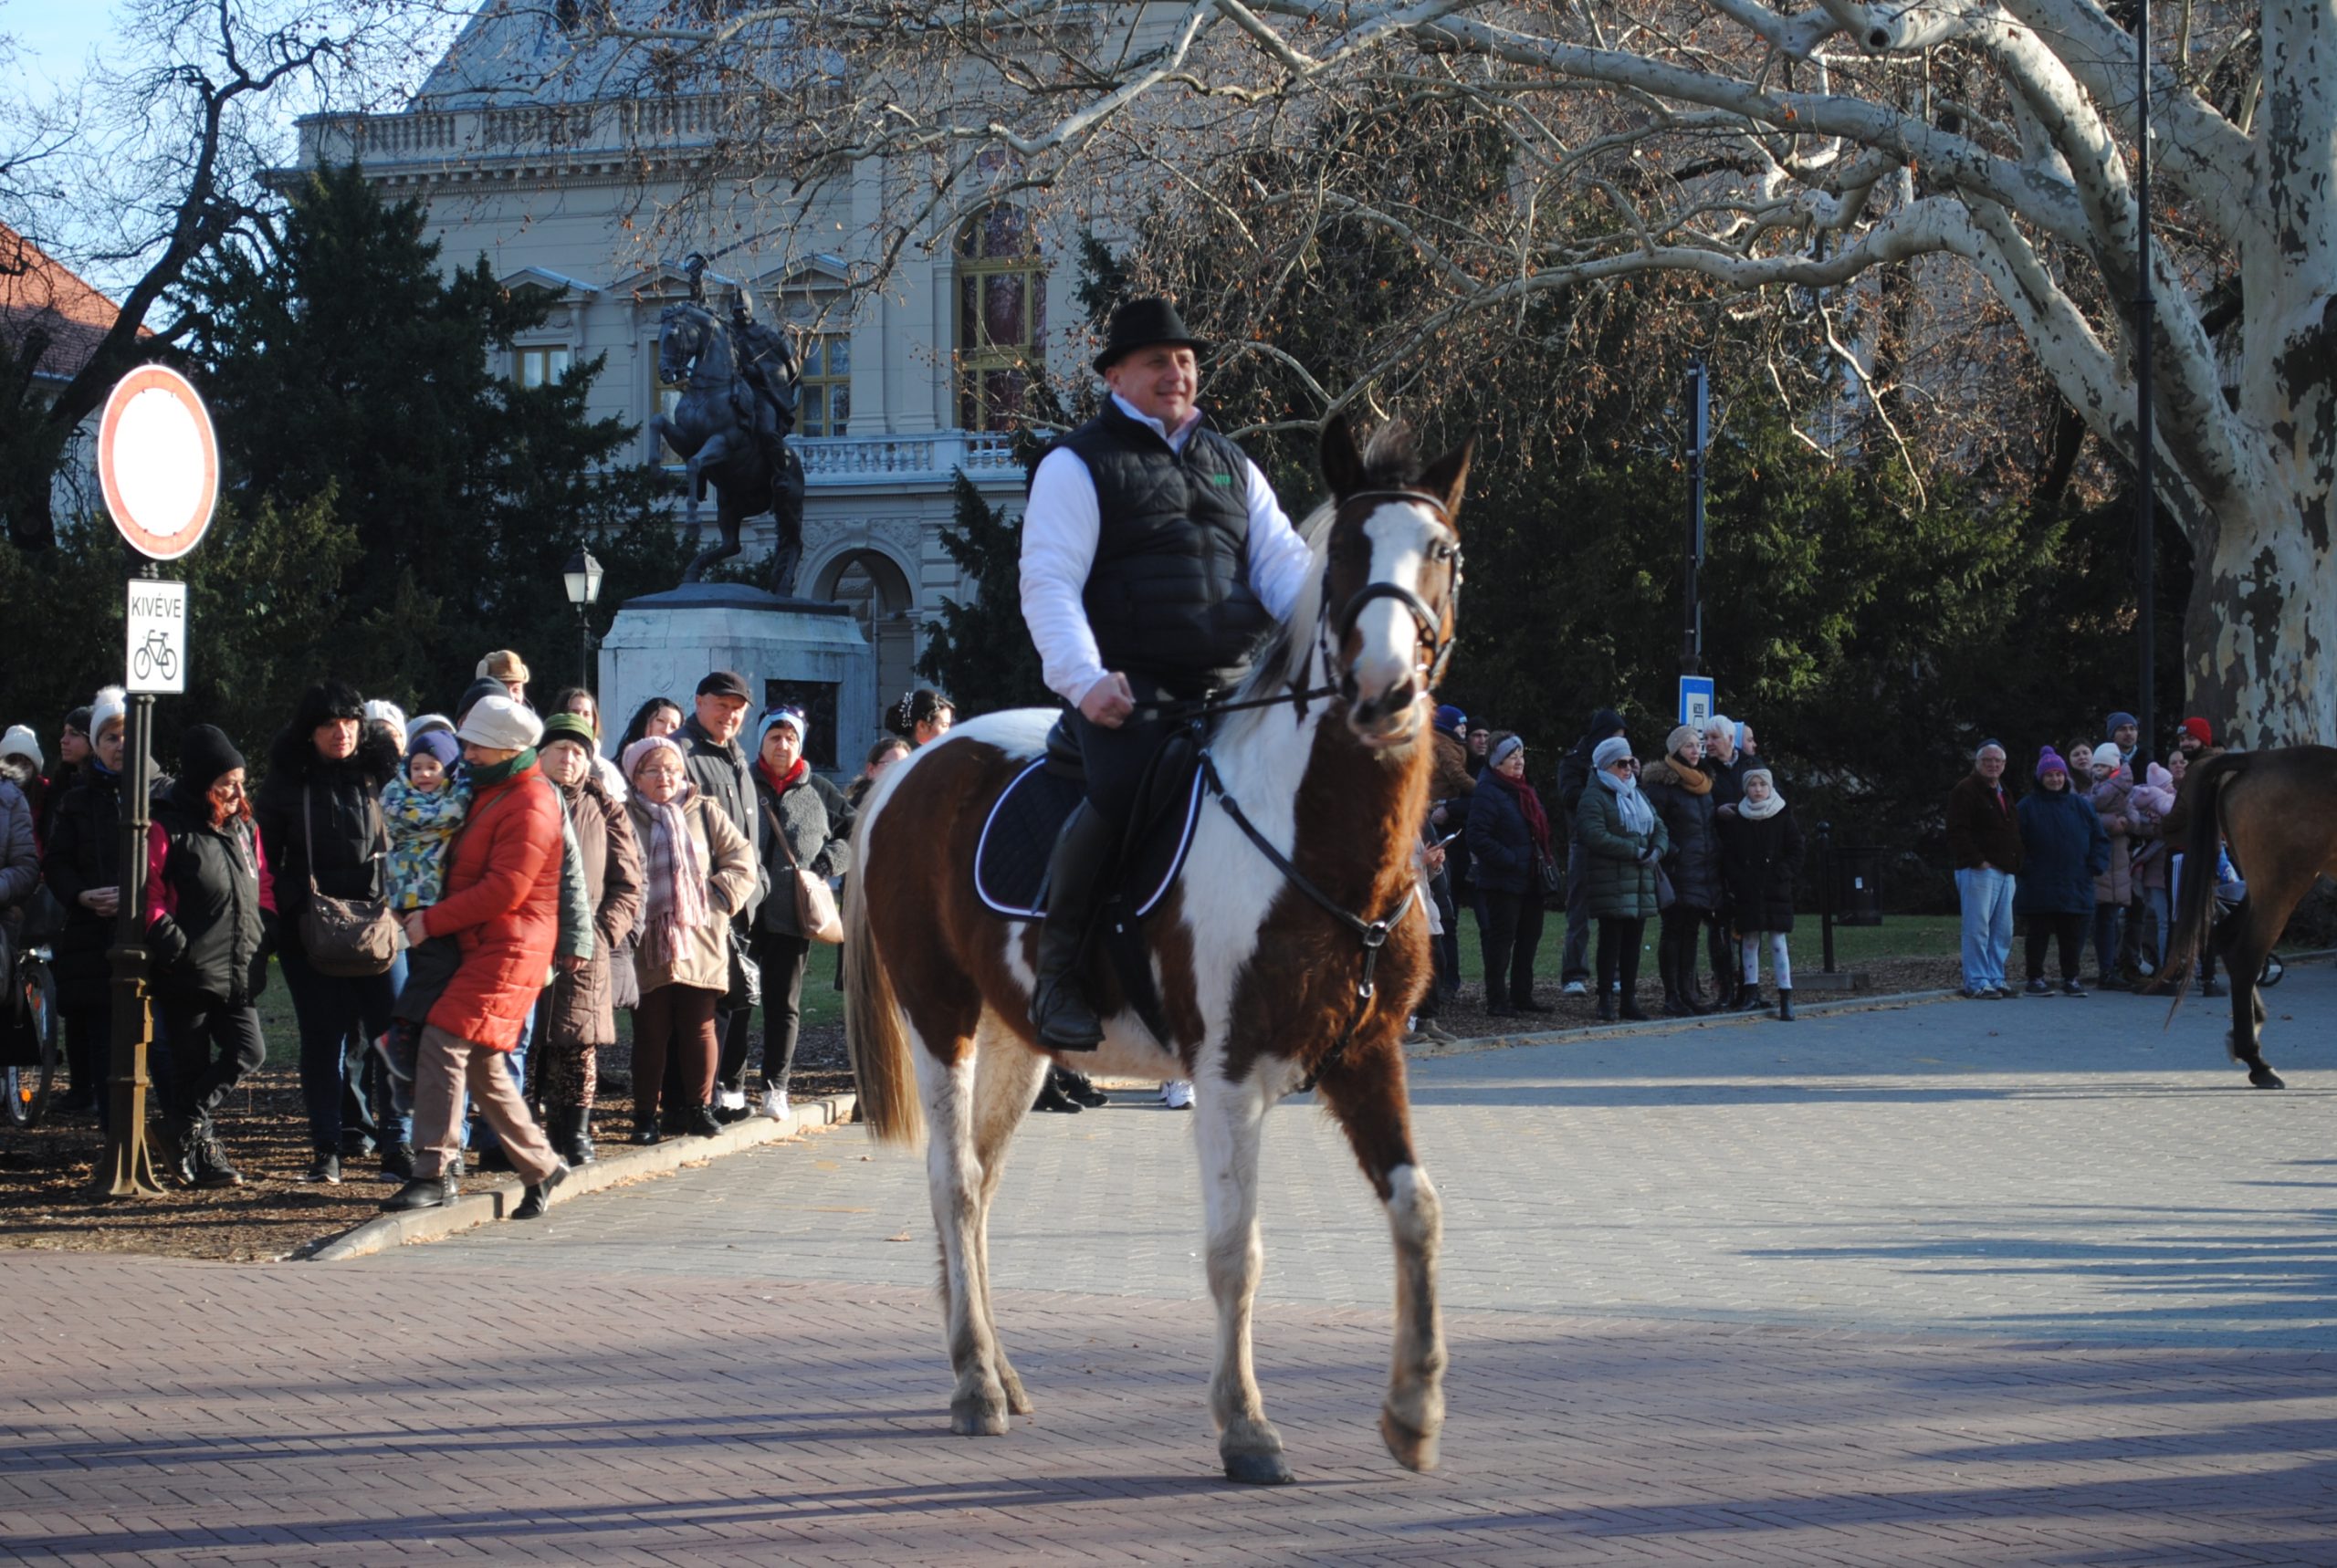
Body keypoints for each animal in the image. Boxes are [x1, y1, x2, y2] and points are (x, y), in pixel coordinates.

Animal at [841, 415, 1467, 1486]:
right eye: (1348, 552)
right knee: (952, 1183)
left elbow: (1415, 1206)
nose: (1385, 693)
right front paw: (1245, 1424)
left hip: (1018, 1039)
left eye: (1441, 551)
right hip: (940, 1016)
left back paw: (999, 1369)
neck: (1313, 839)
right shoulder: (1227, 1072)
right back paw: (971, 1382)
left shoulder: (1367, 1052)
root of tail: (912, 766)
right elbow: (1235, 1250)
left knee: (981, 1186)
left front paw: (1414, 1409)